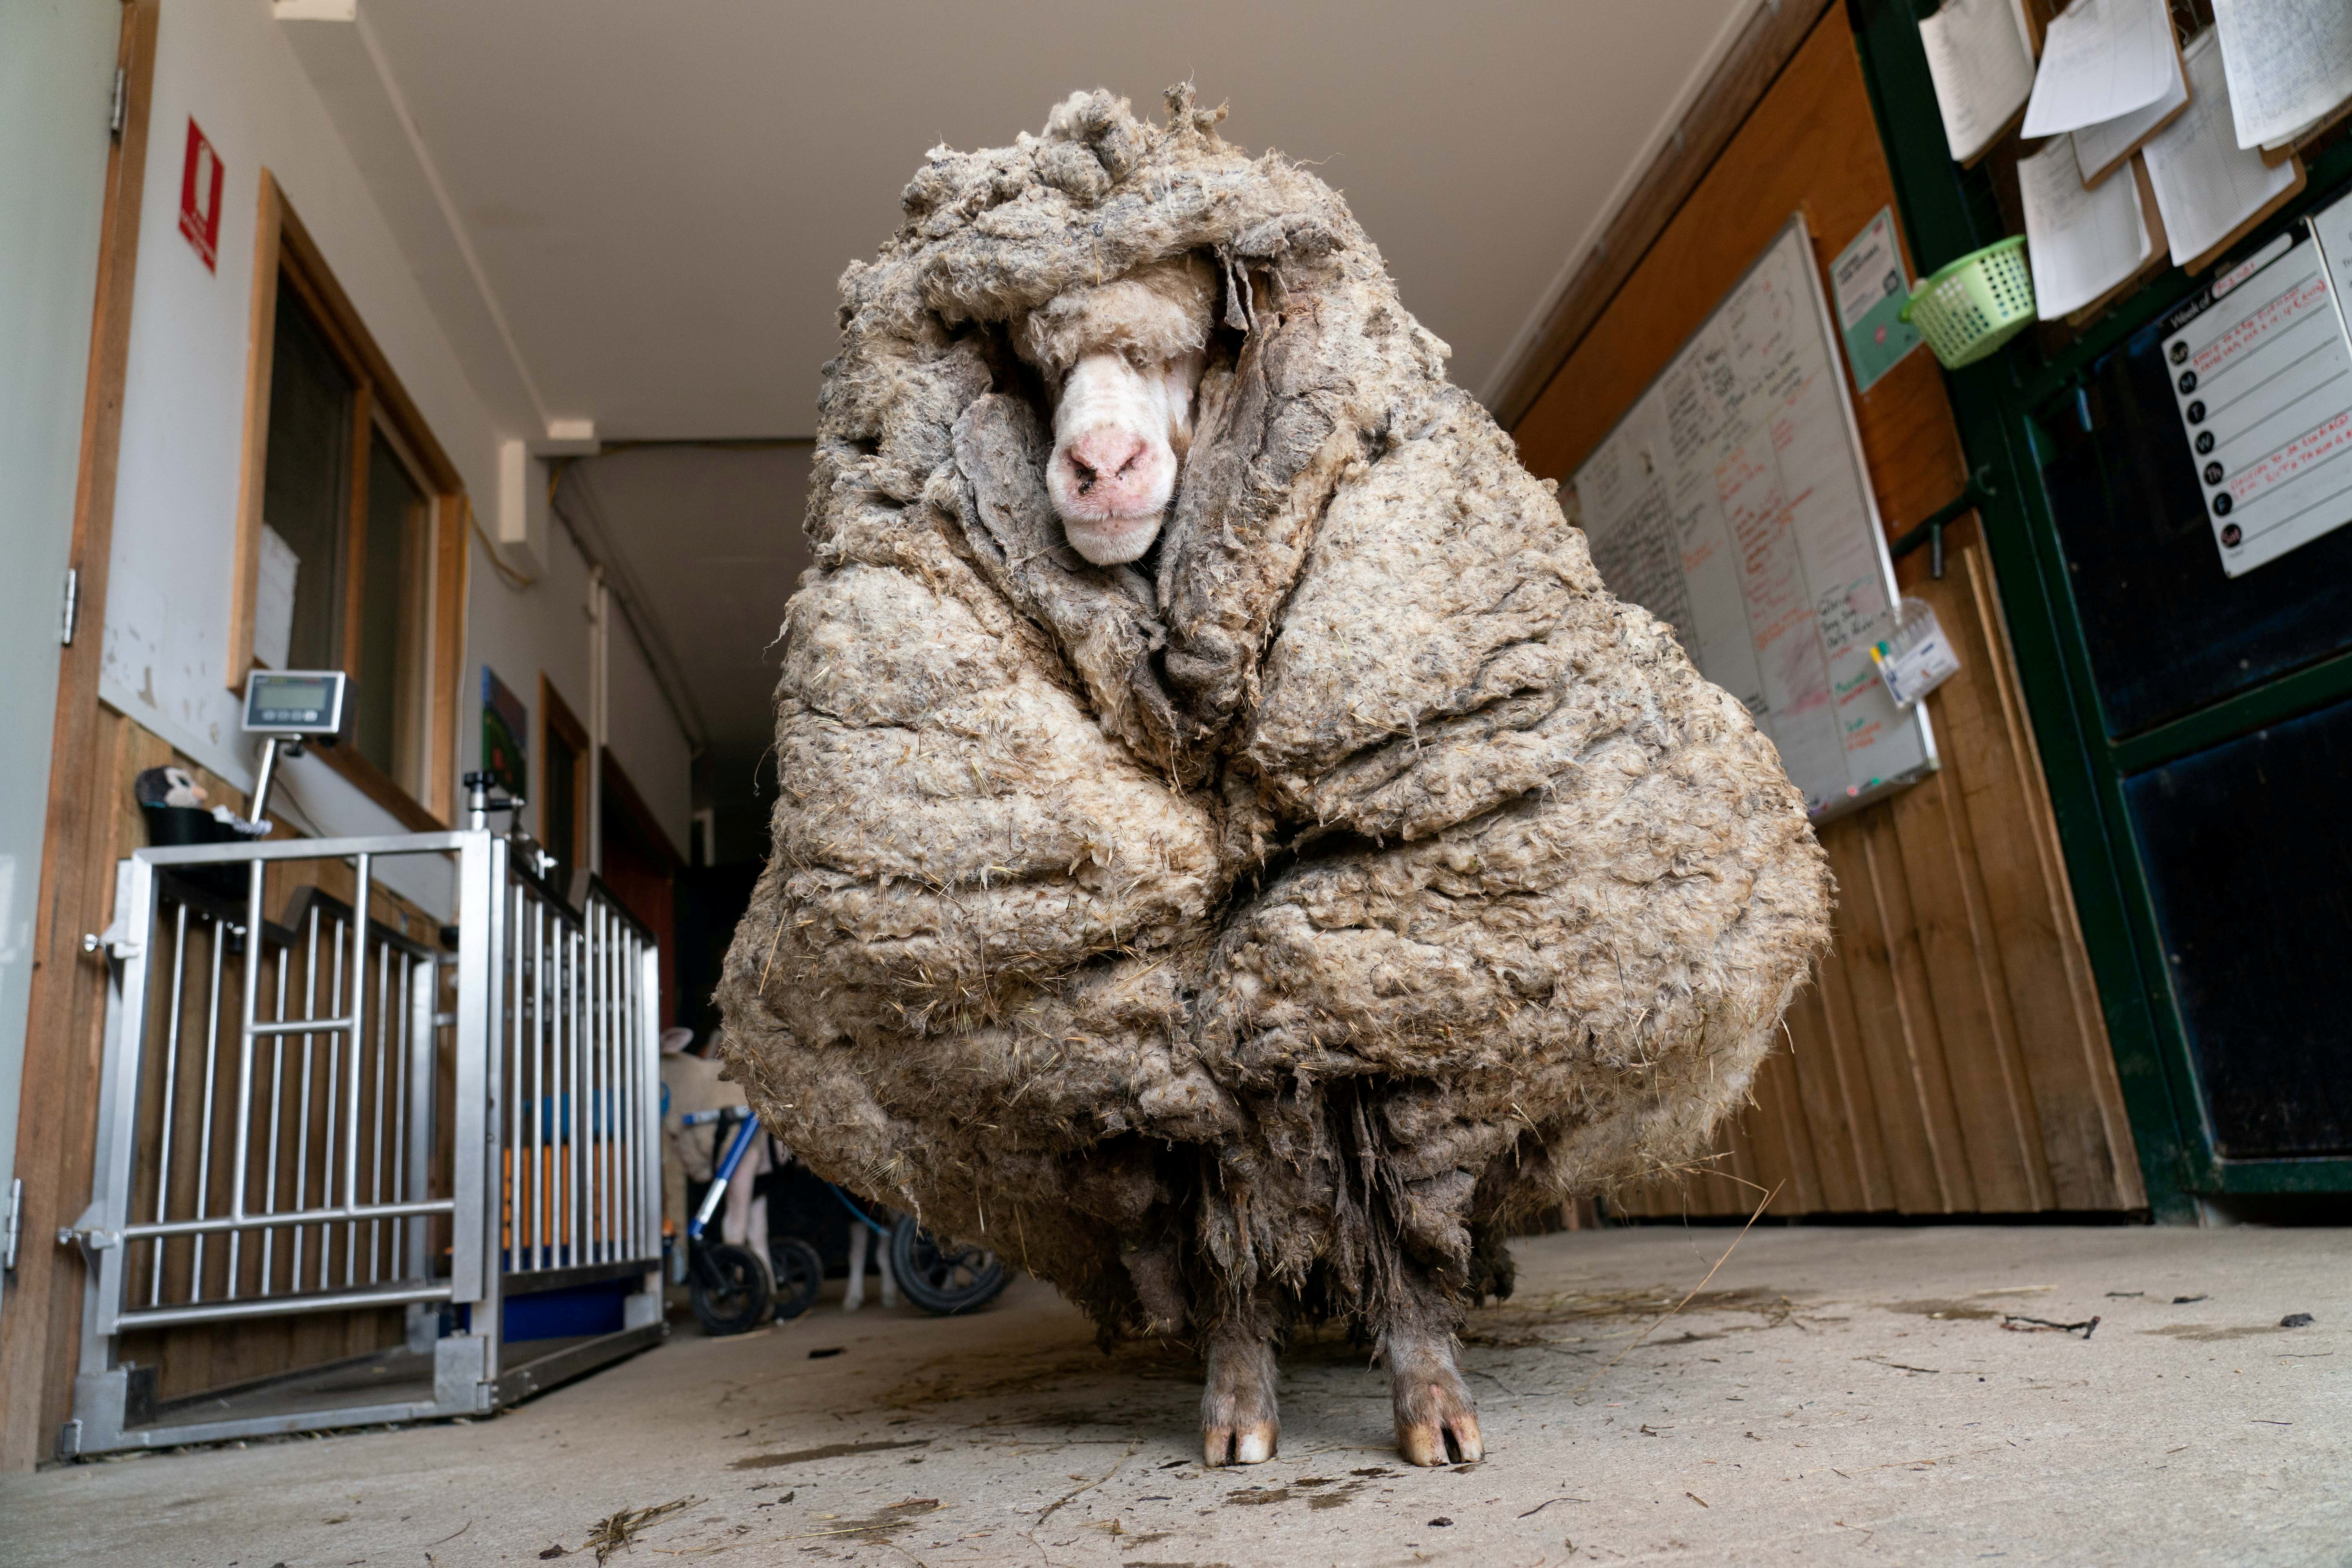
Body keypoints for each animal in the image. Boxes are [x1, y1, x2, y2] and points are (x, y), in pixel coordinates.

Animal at [720, 89, 1835, 1476]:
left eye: (1196, 340)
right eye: (1028, 360)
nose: (1096, 470)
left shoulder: (1371, 942)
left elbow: (1380, 1159)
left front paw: (1429, 1397)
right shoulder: (1146, 1011)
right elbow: (1218, 1200)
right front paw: (1237, 1404)